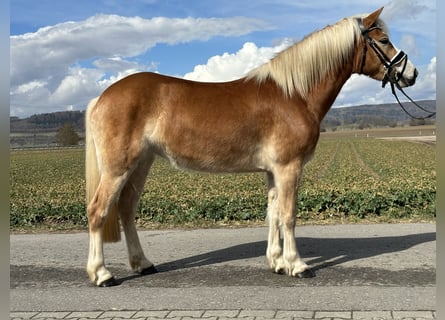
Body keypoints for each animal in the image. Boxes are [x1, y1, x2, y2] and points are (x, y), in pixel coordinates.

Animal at [84, 7, 416, 286]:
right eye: (384, 40)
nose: (411, 73)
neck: (293, 94)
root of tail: (102, 97)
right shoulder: (289, 168)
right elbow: (289, 216)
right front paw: (297, 265)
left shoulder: (273, 171)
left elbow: (273, 214)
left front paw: (277, 262)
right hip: (118, 167)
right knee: (99, 210)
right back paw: (101, 273)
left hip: (142, 163)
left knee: (126, 208)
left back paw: (142, 263)